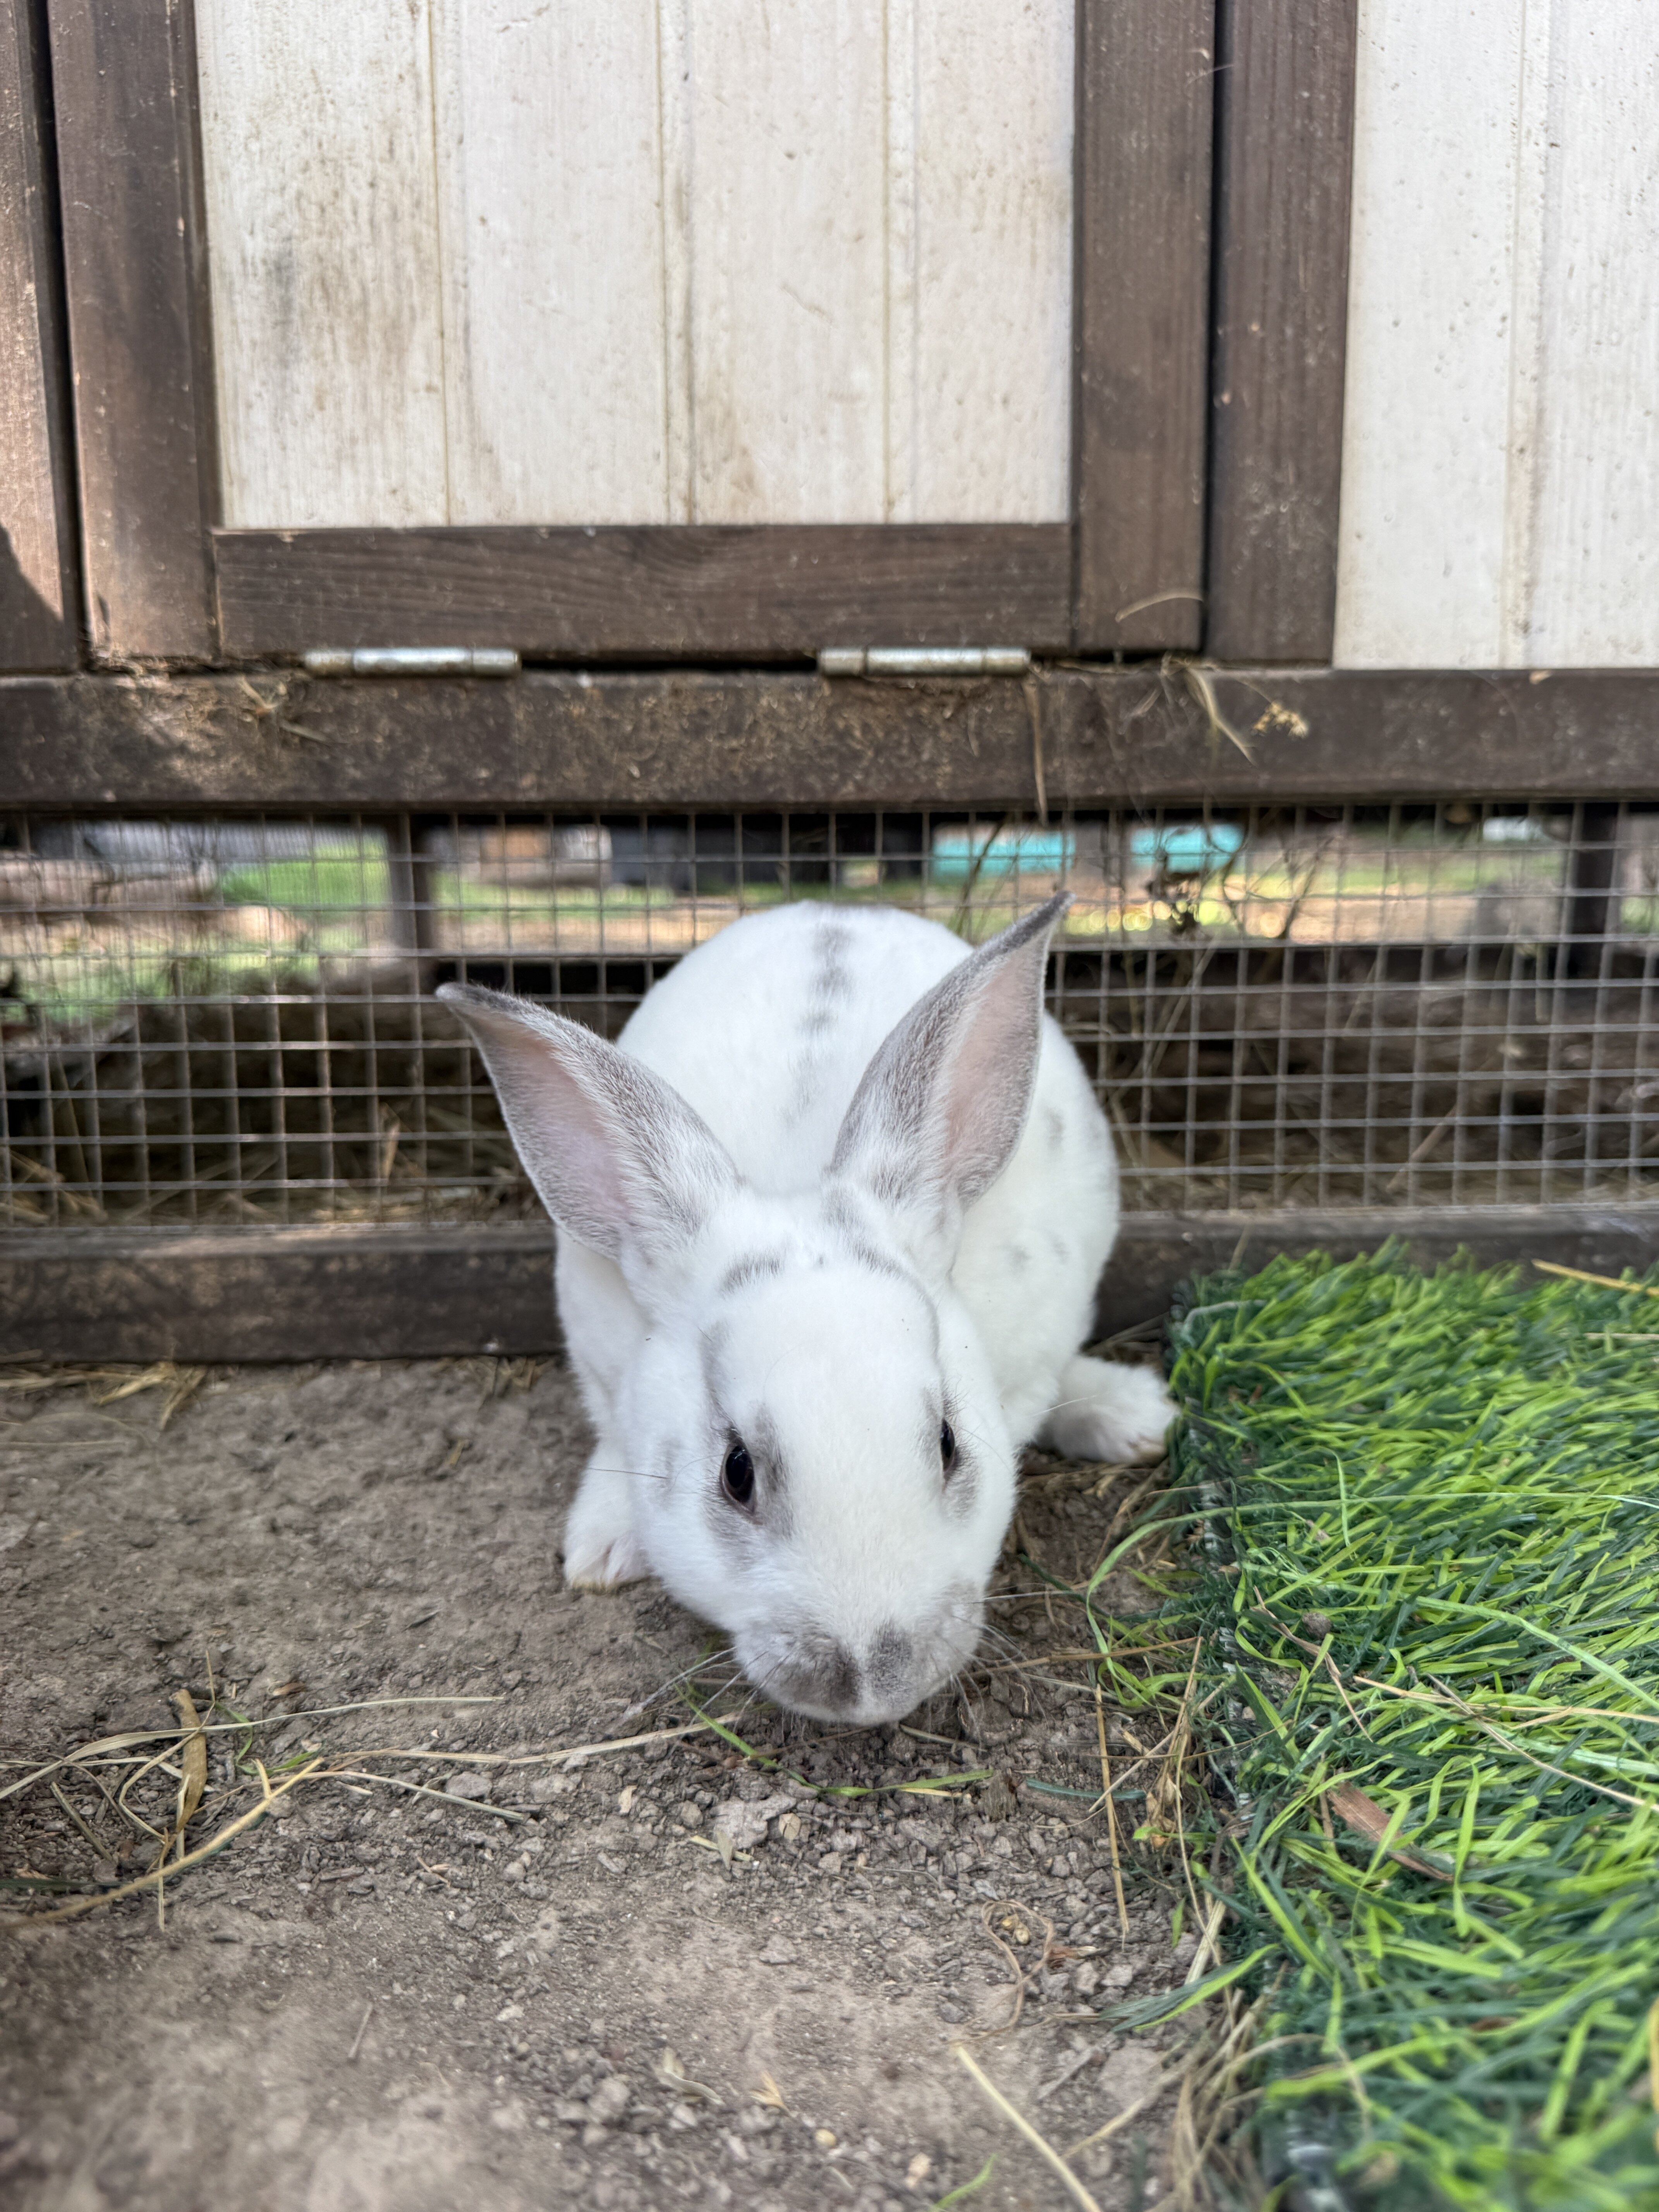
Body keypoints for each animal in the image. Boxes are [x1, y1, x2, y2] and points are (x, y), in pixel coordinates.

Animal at [437, 891, 1172, 1725]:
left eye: (948, 1444)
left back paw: (1134, 1418)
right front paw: (601, 1552)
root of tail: (839, 905)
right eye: (736, 1474)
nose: (872, 1686)